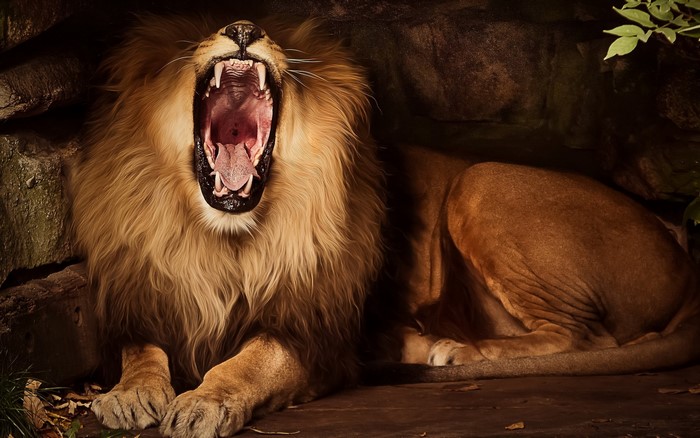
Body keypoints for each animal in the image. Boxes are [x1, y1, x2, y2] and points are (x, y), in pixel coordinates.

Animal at [70, 15, 384, 437]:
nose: (244, 30)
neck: (223, 236)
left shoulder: (314, 335)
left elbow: (252, 362)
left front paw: (204, 402)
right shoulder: (139, 298)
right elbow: (140, 348)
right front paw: (130, 393)